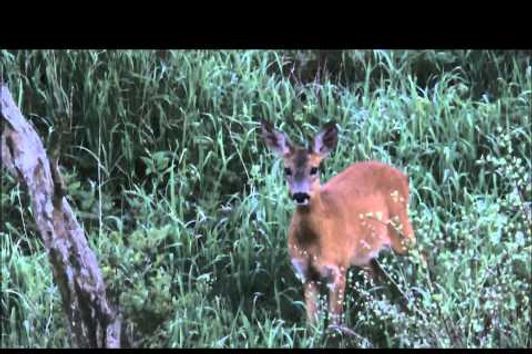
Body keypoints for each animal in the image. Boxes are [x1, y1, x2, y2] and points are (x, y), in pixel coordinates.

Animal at [260, 120, 416, 330]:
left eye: (314, 169)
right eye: (287, 170)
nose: (300, 195)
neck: (314, 241)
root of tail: (403, 176)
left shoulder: (339, 268)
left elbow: (335, 321)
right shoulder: (306, 273)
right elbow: (312, 324)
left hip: (401, 228)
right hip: (364, 251)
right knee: (376, 272)